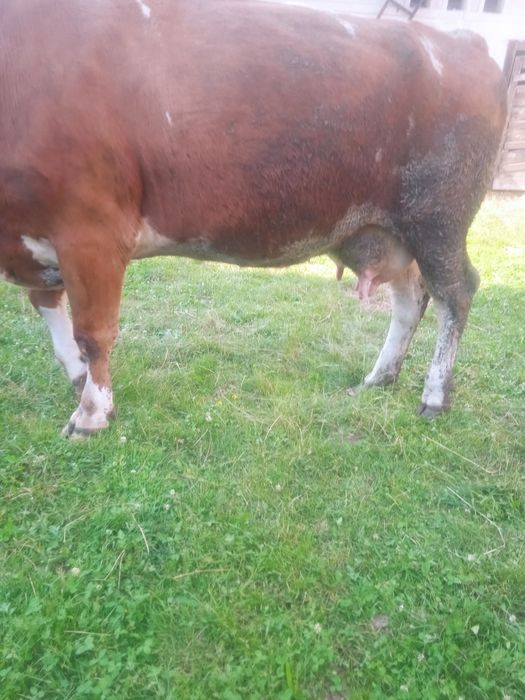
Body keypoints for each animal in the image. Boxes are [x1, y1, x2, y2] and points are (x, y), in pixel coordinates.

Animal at [0, 0, 507, 438]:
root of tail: (459, 41)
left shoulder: (91, 228)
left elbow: (94, 332)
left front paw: (91, 413)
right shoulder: (36, 237)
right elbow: (46, 304)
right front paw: (77, 379)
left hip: (438, 219)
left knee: (455, 294)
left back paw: (435, 396)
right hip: (393, 232)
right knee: (411, 298)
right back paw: (380, 377)